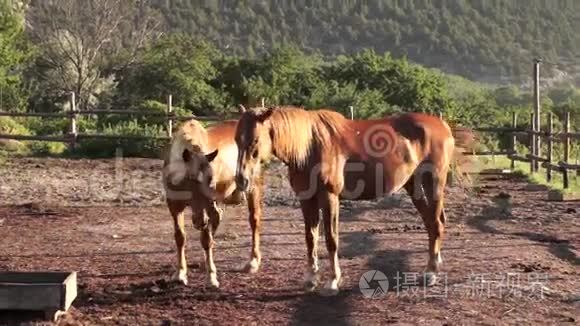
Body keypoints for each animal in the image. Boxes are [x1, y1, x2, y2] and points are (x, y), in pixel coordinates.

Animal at [162, 117, 264, 288]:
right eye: (191, 179)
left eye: (211, 180)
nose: (200, 221)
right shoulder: (174, 206)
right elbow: (180, 237)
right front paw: (180, 274)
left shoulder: (207, 205)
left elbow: (205, 239)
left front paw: (211, 277)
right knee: (217, 218)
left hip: (252, 186)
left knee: (254, 220)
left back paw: (252, 263)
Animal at [233, 105, 474, 296]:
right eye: (236, 139)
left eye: (255, 140)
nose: (242, 179)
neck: (310, 146)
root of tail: (442, 125)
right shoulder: (306, 199)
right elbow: (310, 238)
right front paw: (311, 278)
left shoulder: (329, 197)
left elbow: (331, 239)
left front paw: (332, 281)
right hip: (413, 185)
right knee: (431, 223)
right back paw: (435, 263)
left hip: (433, 183)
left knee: (436, 223)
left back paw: (431, 273)